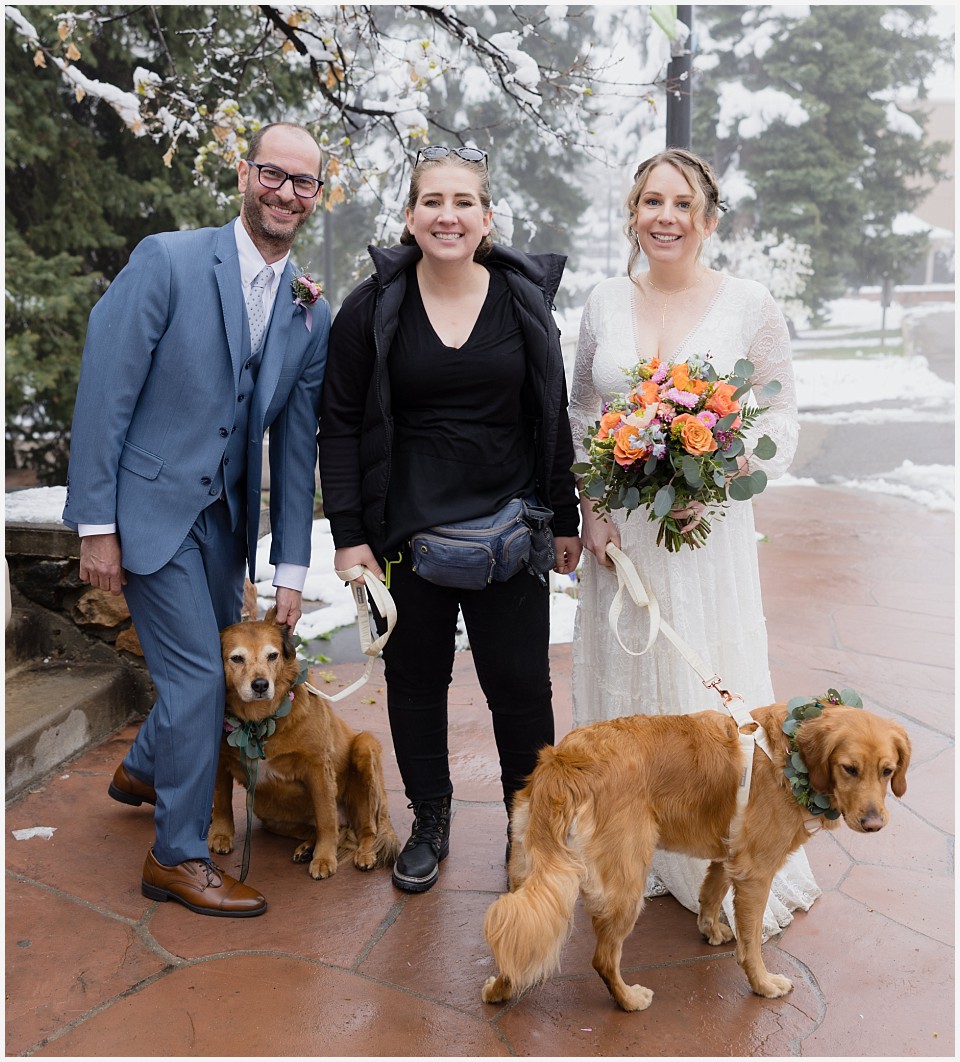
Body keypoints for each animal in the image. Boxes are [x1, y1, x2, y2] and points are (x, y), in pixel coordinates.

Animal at [212, 607, 399, 879]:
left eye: (272, 656)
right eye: (237, 658)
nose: (261, 685)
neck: (260, 720)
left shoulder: (318, 768)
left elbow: (326, 819)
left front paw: (324, 859)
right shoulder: (219, 761)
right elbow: (221, 800)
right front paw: (221, 835)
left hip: (366, 750)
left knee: (366, 828)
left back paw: (365, 853)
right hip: (261, 805)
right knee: (328, 829)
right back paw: (307, 848)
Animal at [484, 700, 913, 1006]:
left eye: (888, 771)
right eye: (849, 769)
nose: (874, 823)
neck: (787, 754)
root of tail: (563, 763)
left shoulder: (730, 854)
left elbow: (710, 894)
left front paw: (711, 930)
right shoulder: (756, 872)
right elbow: (751, 942)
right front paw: (762, 983)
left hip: (529, 871)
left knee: (514, 936)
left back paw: (500, 990)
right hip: (625, 883)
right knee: (602, 959)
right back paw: (628, 999)